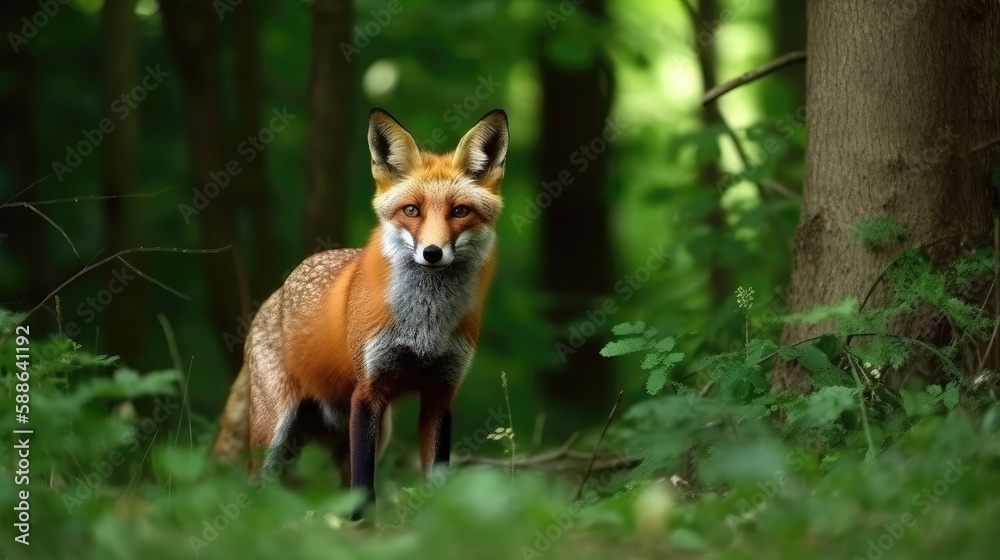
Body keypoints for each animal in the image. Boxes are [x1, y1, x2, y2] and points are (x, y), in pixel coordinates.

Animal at [211, 108, 508, 518]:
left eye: (460, 211)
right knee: (261, 487)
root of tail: (274, 296)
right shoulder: (367, 392)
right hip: (274, 430)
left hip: (365, 432)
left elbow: (435, 476)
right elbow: (364, 484)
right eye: (411, 210)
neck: (424, 327)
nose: (432, 253)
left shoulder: (440, 392)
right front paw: (362, 525)